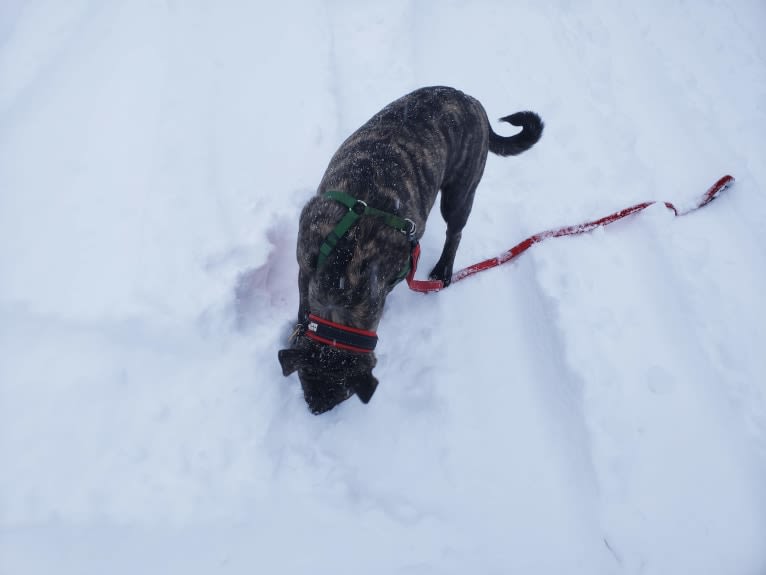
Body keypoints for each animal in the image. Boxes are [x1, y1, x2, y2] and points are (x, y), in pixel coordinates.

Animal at [280, 85, 544, 414]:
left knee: (455, 232)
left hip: (460, 190)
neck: (345, 270)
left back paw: (443, 270)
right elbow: (303, 304)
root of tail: (473, 102)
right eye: (305, 380)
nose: (316, 411)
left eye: (343, 395)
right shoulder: (304, 264)